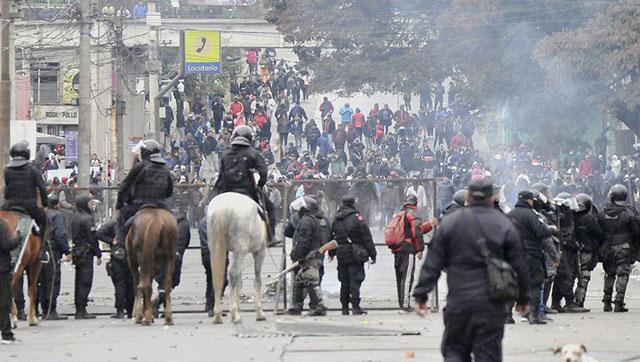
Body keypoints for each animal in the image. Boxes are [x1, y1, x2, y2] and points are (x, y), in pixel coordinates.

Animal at [208, 194, 268, 324]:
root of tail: (223, 208)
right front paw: (259, 313)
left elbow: (239, 282)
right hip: (240, 251)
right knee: (233, 274)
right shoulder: (259, 252)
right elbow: (257, 280)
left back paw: (218, 315)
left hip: (216, 248)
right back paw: (235, 314)